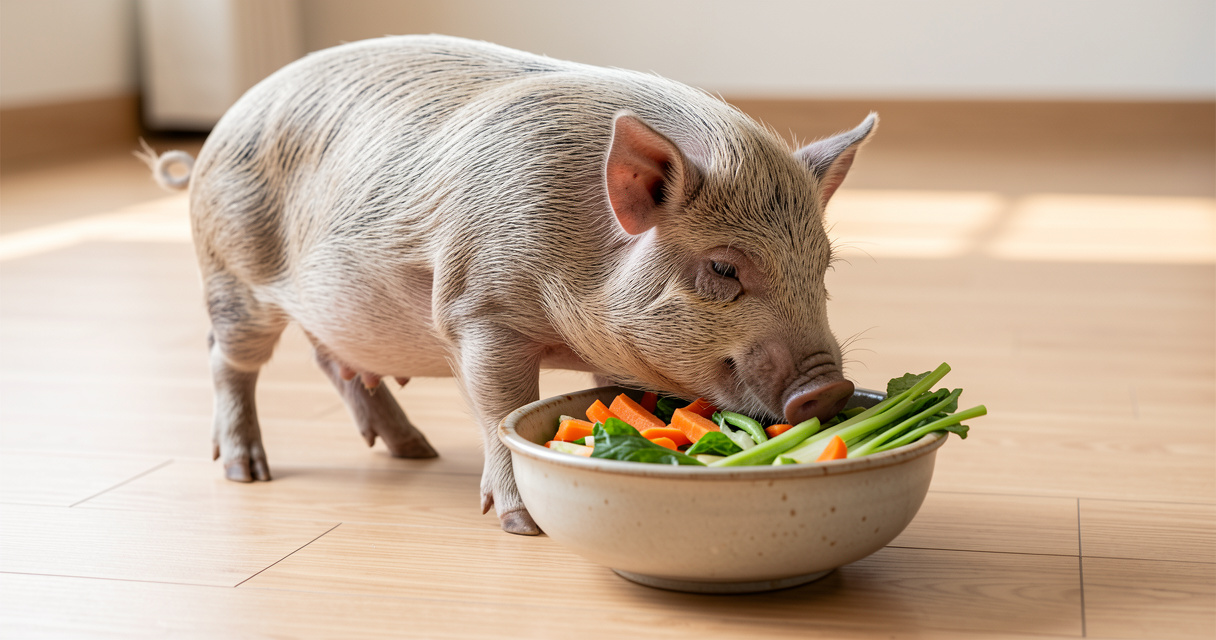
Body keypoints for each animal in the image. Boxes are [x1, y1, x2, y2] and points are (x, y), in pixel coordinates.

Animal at [141, 34, 876, 535]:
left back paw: (415, 450)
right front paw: (521, 525)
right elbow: (501, 410)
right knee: (228, 359)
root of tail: (208, 144)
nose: (828, 388)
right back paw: (246, 470)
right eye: (724, 268)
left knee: (333, 359)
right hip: (233, 276)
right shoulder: (479, 309)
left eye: (824, 267)